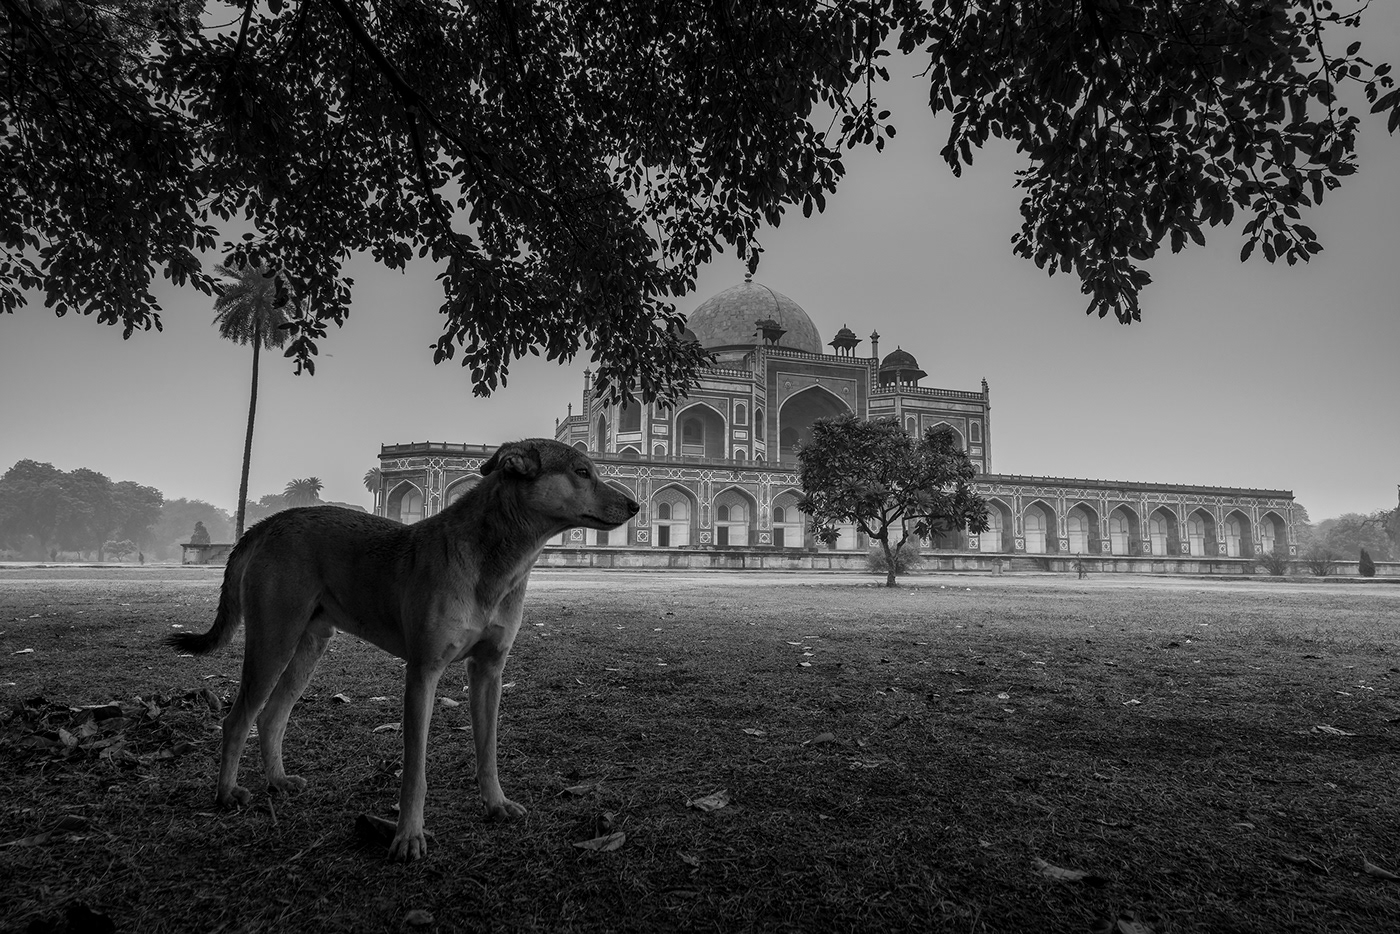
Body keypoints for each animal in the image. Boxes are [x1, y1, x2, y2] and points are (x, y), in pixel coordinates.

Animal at [165, 439, 641, 862]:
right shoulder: (423, 671)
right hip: (274, 637)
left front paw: (495, 803)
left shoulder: (489, 670)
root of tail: (270, 523)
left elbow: (487, 749)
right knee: (238, 719)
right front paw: (409, 835)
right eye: (581, 472)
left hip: (309, 643)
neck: (496, 558)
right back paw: (227, 793)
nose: (635, 506)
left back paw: (278, 781)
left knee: (272, 716)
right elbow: (415, 769)